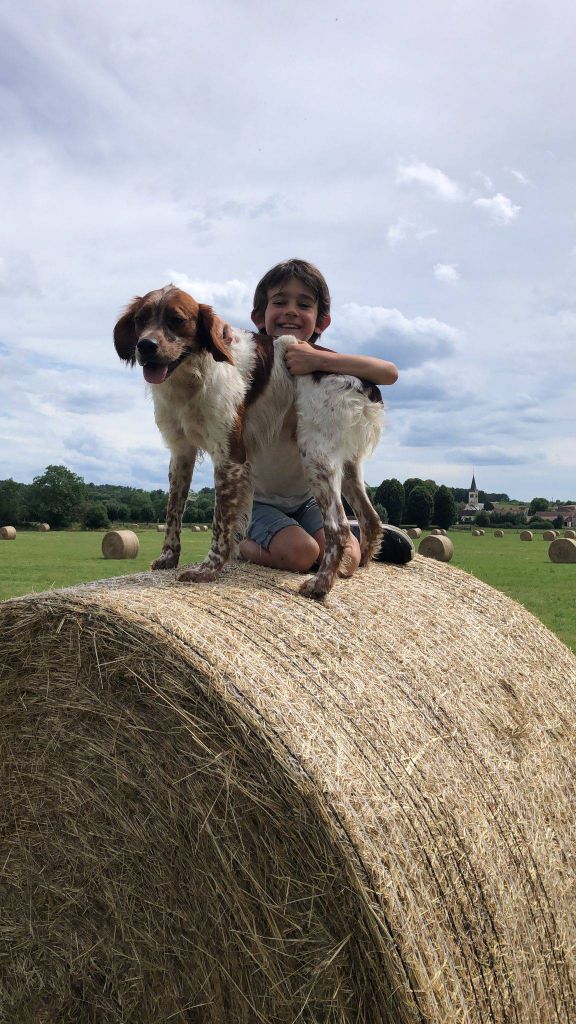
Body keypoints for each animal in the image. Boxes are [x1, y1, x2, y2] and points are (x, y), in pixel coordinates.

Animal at [112, 284, 381, 598]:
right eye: (140, 319)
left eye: (176, 319)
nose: (146, 346)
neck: (193, 375)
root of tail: (364, 381)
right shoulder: (180, 453)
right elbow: (172, 511)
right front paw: (168, 558)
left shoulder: (230, 456)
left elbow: (219, 522)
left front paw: (207, 571)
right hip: (346, 465)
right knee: (370, 519)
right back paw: (358, 568)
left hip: (316, 456)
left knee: (338, 527)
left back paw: (320, 584)